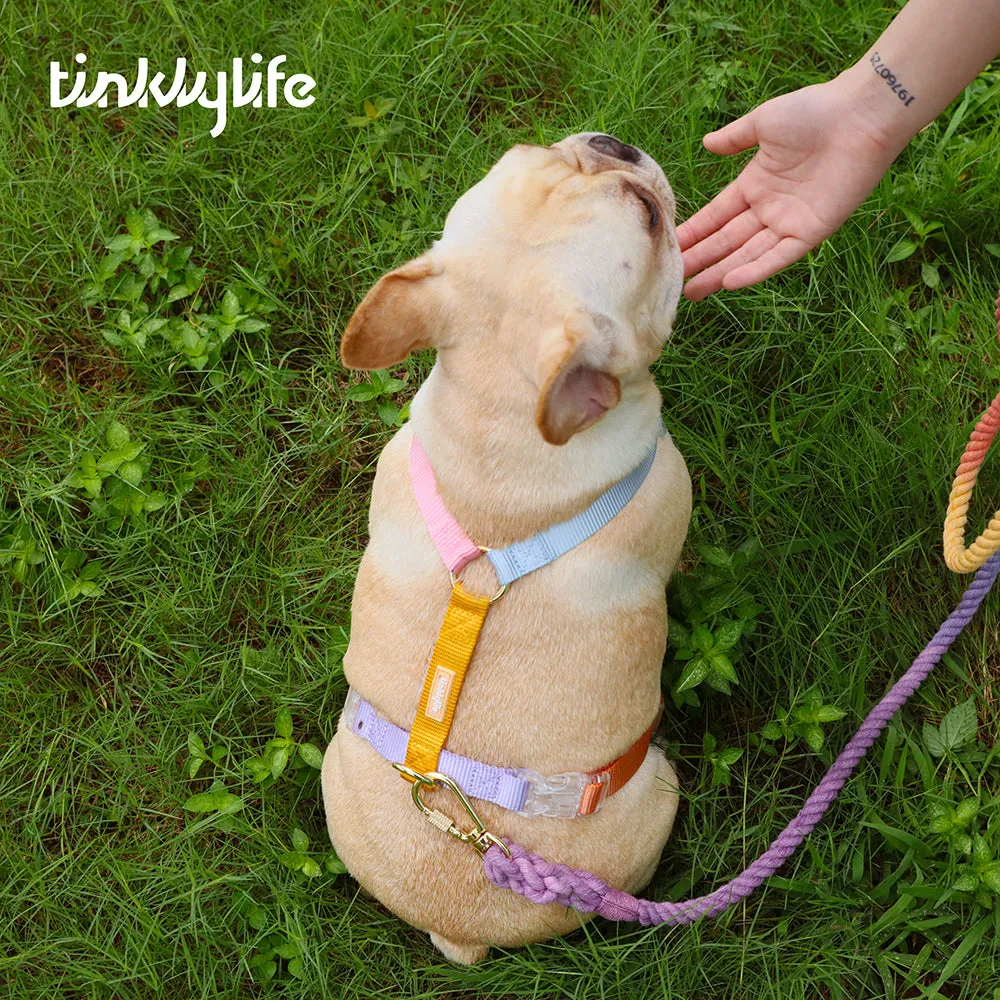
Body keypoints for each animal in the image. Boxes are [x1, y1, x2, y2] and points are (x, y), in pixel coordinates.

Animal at [324, 131, 692, 960]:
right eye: (650, 217)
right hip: (659, 792)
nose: (614, 144)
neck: (497, 416)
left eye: (526, 146)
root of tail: (458, 928)